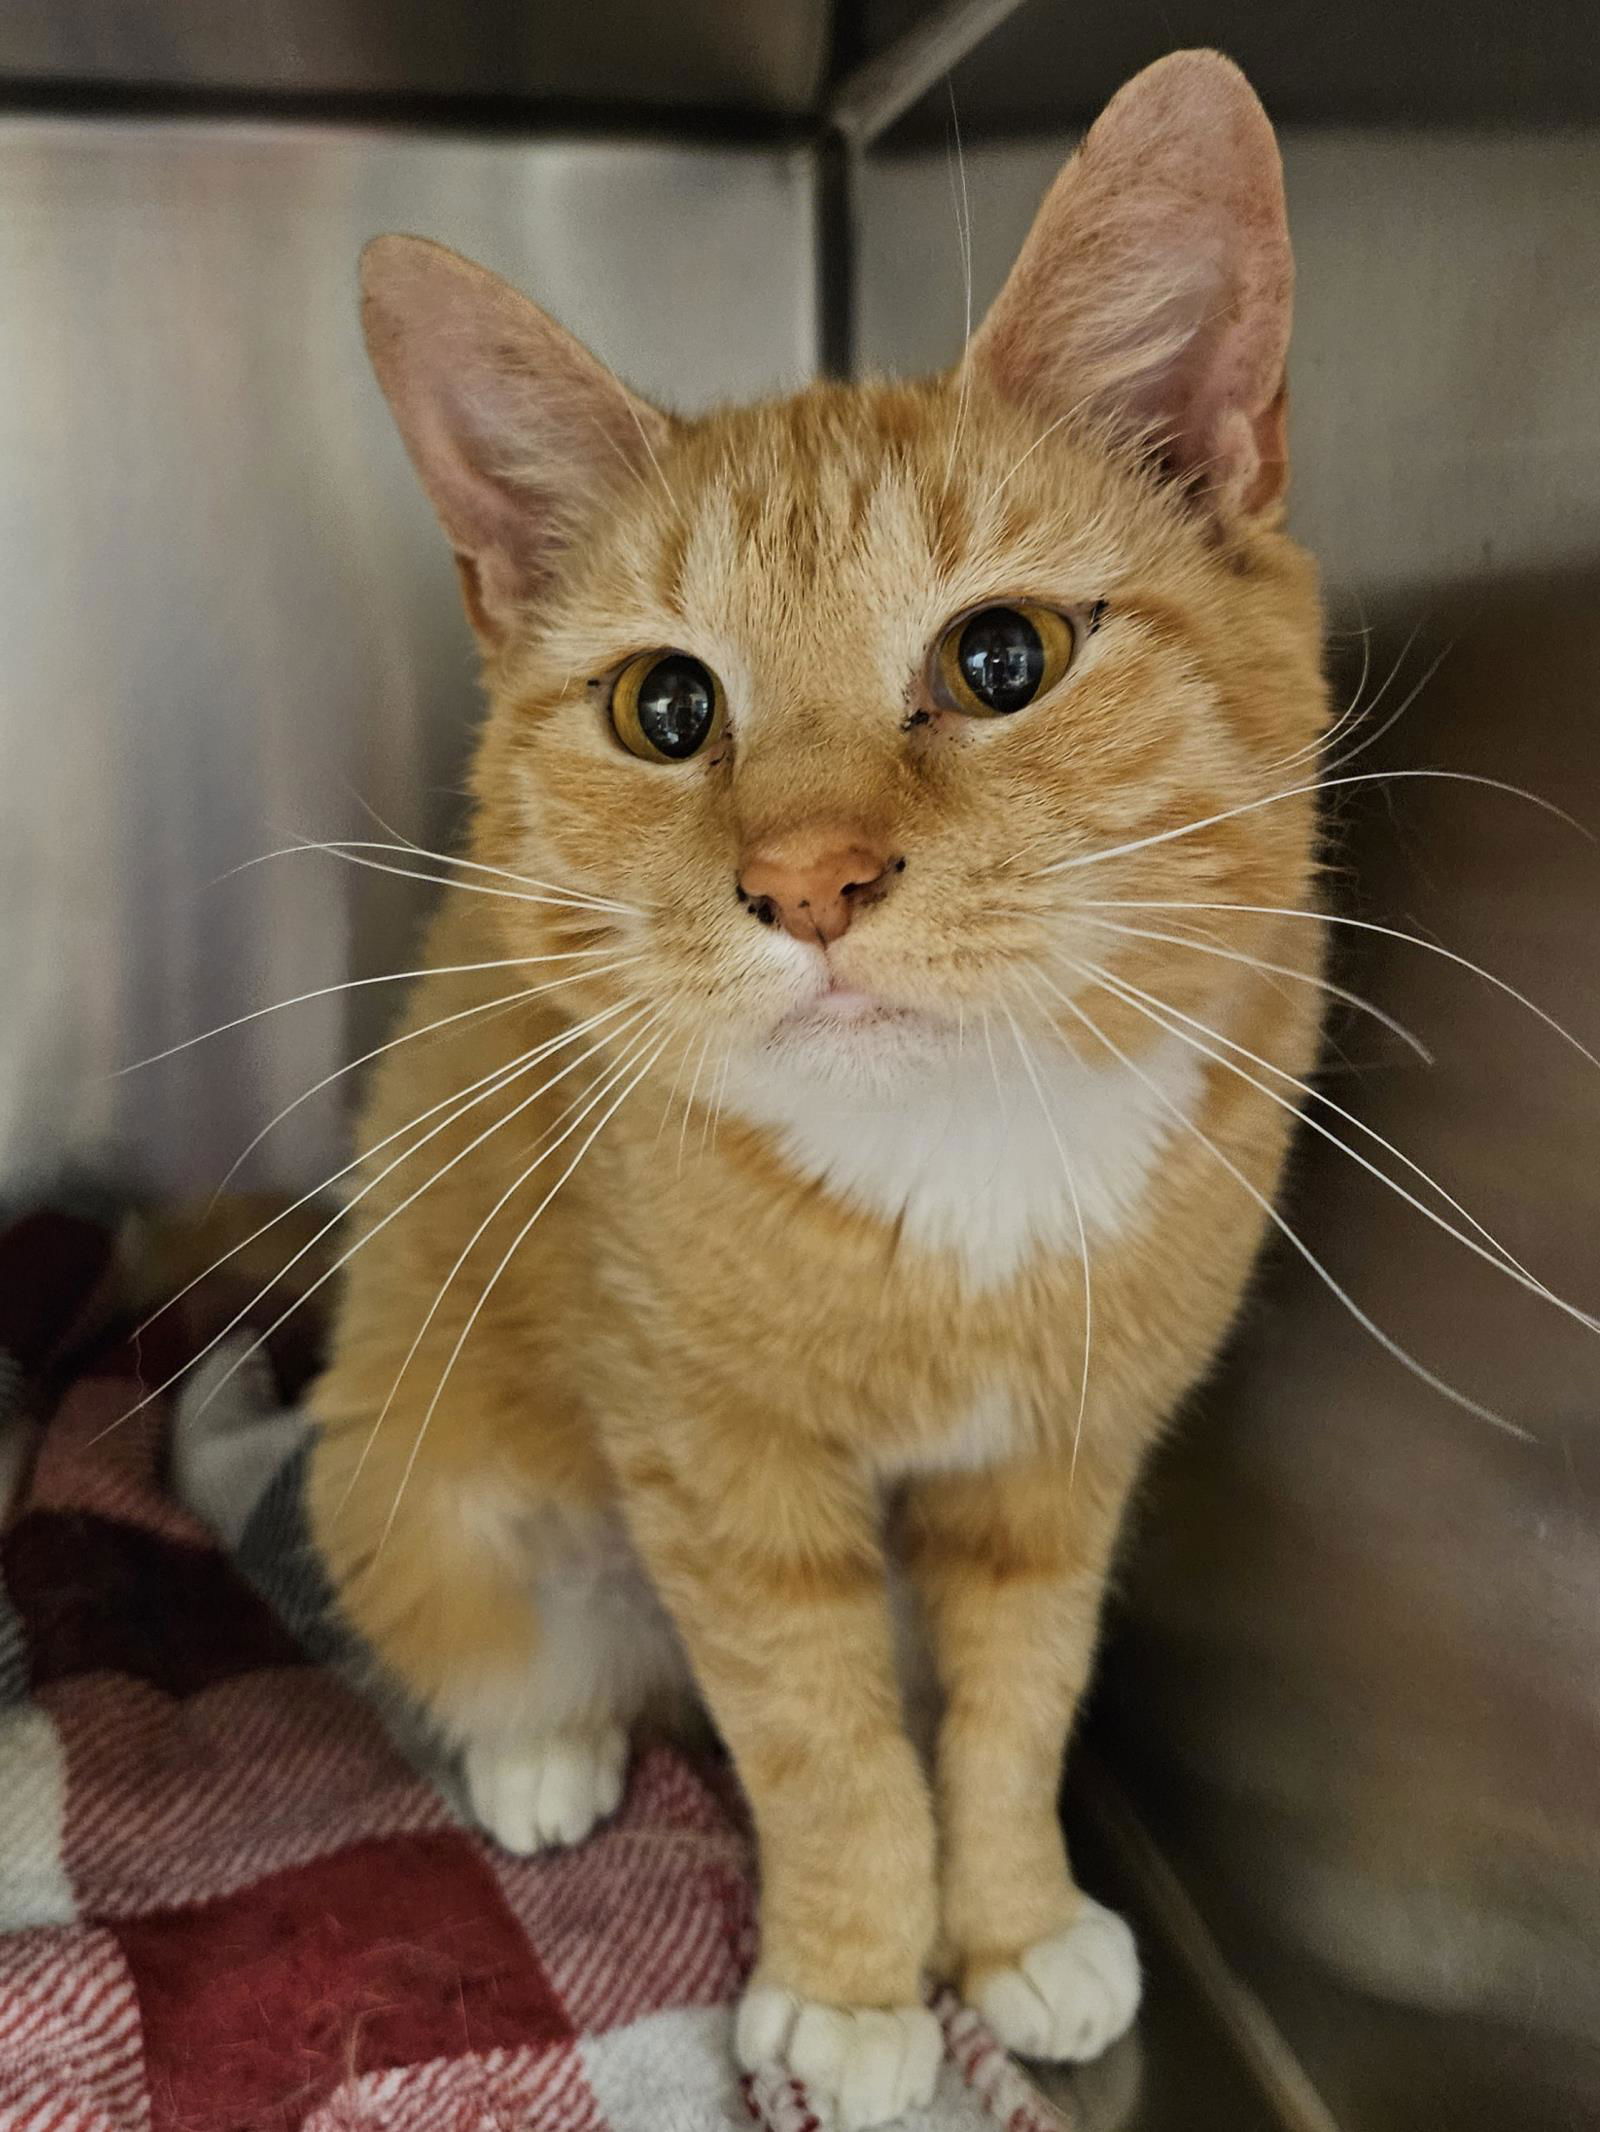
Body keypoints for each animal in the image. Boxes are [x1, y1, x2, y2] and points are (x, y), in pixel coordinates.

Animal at [302, 54, 1331, 2132]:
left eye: (1005, 654)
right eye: (666, 708)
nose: (806, 883)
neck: (962, 1164)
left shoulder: (1057, 1466)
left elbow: (1012, 1709)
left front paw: (1008, 1923)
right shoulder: (728, 1487)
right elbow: (823, 1744)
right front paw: (858, 1982)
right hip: (425, 1488)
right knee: (511, 1645)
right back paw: (542, 1752)